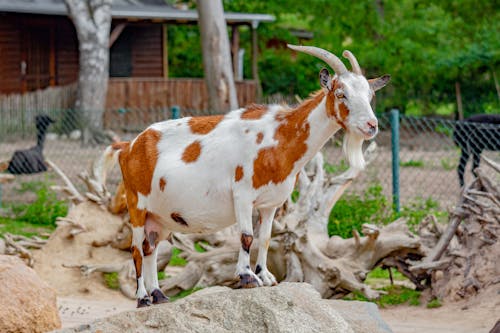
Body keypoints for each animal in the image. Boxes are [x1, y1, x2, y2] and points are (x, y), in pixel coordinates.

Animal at [102, 44, 390, 306]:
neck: (279, 137)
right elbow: (246, 236)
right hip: (137, 206)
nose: (371, 125)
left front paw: (267, 277)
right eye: (341, 94)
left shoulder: (271, 203)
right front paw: (247, 277)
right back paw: (142, 298)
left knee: (150, 247)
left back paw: (159, 295)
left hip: (159, 218)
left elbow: (265, 239)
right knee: (137, 249)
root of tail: (129, 146)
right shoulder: (242, 195)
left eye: (369, 95)